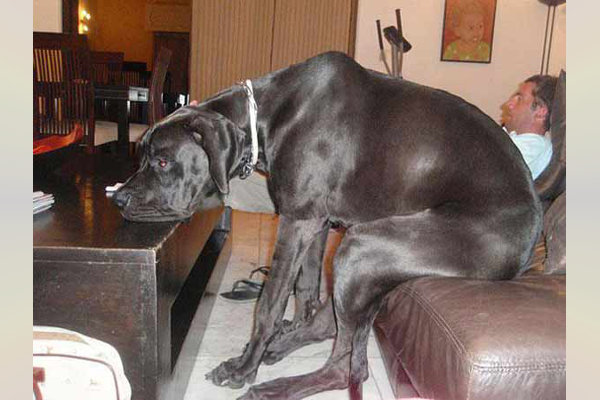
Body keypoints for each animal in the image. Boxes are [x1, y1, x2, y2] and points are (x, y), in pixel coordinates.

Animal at [113, 52, 542, 400]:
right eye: (142, 155)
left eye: (163, 161)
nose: (118, 198)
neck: (267, 116)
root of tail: (531, 232)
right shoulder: (316, 223)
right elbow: (305, 291)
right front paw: (283, 334)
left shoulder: (297, 220)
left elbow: (269, 303)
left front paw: (244, 367)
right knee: (333, 329)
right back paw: (284, 345)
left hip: (364, 248)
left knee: (346, 368)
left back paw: (275, 386)